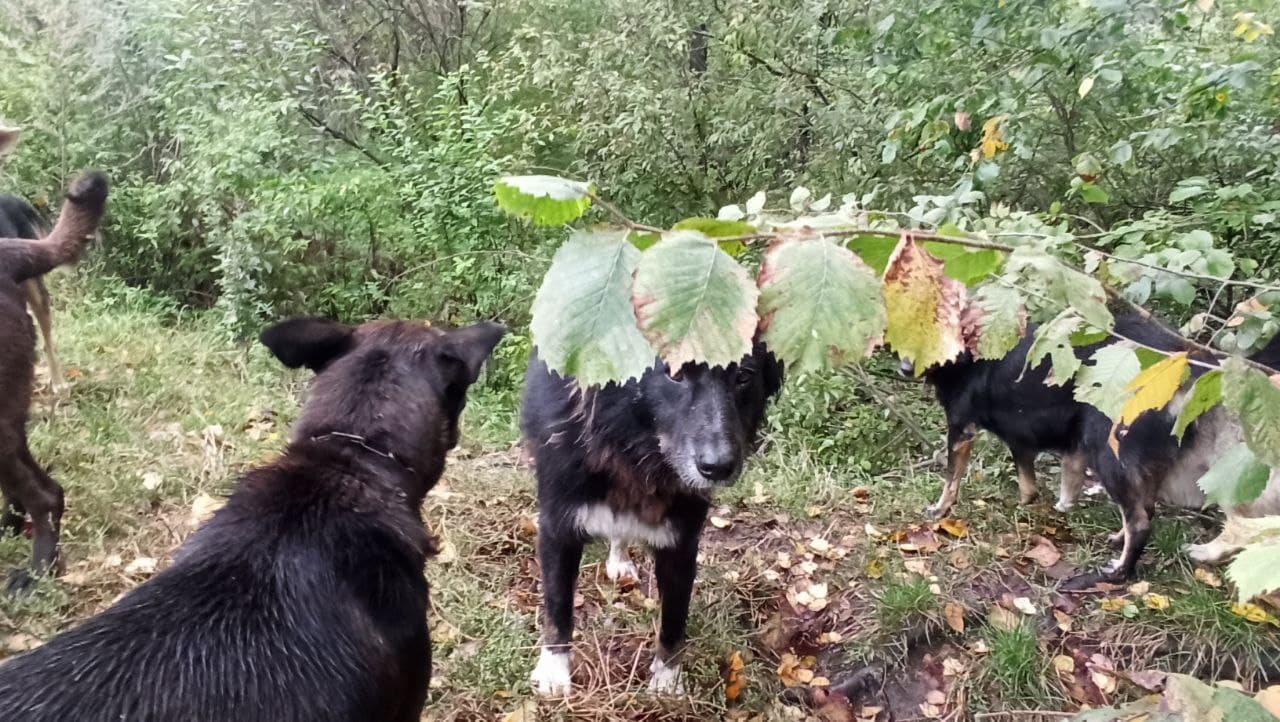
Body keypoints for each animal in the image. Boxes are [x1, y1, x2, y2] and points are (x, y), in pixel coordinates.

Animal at [519, 345, 778, 696]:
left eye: (743, 376)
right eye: (675, 373)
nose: (718, 467)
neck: (633, 451)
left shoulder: (682, 543)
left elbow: (674, 617)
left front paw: (667, 681)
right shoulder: (557, 527)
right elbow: (558, 604)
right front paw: (554, 673)